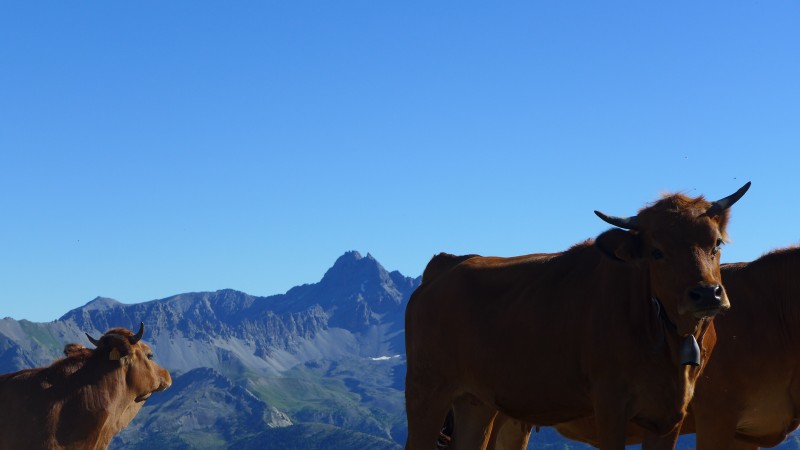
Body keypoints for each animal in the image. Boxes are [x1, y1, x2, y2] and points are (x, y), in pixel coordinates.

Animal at [406, 183, 752, 450]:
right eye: (657, 252)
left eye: (716, 243)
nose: (707, 294)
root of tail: (448, 265)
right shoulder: (610, 404)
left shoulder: (669, 415)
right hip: (426, 391)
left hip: (476, 402)